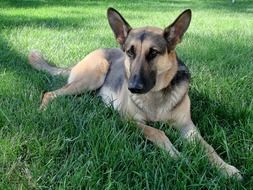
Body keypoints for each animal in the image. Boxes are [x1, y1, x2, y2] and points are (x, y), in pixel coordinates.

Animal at [27, 7, 241, 180]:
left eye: (153, 53)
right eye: (130, 52)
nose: (133, 87)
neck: (156, 96)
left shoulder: (188, 128)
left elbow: (208, 147)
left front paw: (226, 168)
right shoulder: (128, 120)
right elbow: (158, 131)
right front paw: (176, 155)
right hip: (95, 73)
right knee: (49, 94)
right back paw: (42, 111)